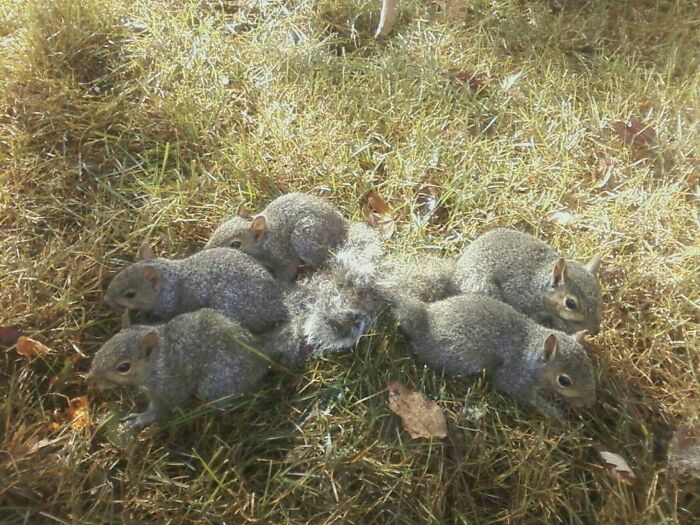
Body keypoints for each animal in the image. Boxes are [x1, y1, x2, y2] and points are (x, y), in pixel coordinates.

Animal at [87, 309, 270, 429]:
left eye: (124, 367)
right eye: (105, 346)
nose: (91, 380)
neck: (158, 361)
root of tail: (260, 358)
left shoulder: (169, 386)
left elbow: (161, 409)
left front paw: (139, 419)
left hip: (218, 382)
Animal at [103, 244, 288, 333]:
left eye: (130, 294)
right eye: (118, 276)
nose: (107, 301)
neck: (170, 283)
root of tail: (277, 305)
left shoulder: (170, 307)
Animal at [205, 192, 349, 282]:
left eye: (235, 244)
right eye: (218, 229)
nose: (206, 250)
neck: (265, 240)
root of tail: (343, 226)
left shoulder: (282, 255)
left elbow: (288, 270)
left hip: (304, 239)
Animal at [390, 292, 596, 419]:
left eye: (589, 368)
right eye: (564, 381)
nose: (589, 403)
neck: (529, 355)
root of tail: (425, 320)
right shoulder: (515, 377)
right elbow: (526, 397)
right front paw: (555, 413)